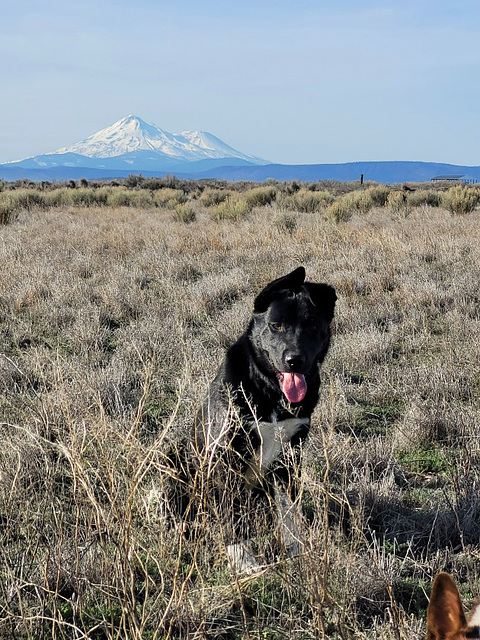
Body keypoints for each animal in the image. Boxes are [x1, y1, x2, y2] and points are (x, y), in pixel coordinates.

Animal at [192, 268, 338, 572]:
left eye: (311, 325)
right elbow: (231, 516)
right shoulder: (226, 455)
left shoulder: (291, 455)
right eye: (276, 325)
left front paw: (297, 549)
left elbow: (289, 510)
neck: (269, 388)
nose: (294, 360)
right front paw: (243, 560)